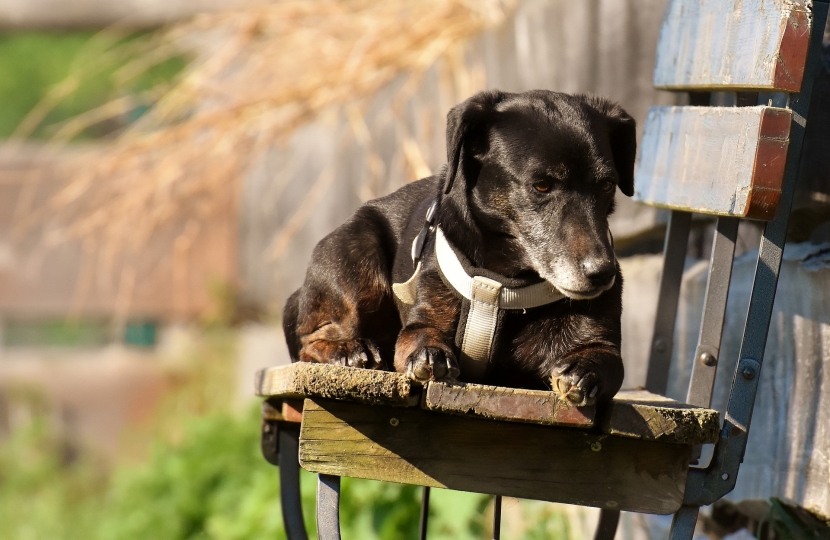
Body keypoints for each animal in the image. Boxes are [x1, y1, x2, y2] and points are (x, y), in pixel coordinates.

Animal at [282, 89, 632, 404]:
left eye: (607, 185)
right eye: (542, 185)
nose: (602, 273)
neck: (505, 282)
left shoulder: (603, 344)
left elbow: (610, 363)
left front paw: (584, 370)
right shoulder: (421, 321)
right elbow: (419, 335)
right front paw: (430, 353)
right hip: (355, 259)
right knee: (309, 341)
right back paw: (348, 349)